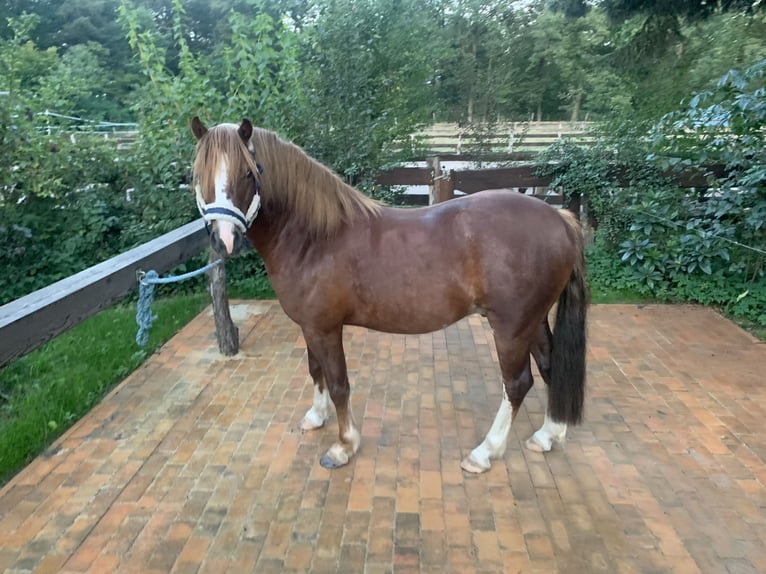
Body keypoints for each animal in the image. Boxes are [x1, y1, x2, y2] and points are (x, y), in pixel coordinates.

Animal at [192, 117, 588, 472]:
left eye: (248, 174)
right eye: (198, 176)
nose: (223, 240)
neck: (315, 237)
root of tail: (562, 221)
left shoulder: (325, 328)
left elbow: (338, 383)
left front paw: (344, 446)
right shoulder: (310, 326)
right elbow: (315, 370)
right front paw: (316, 417)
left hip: (511, 328)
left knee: (517, 383)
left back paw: (484, 453)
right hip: (533, 322)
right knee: (551, 365)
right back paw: (548, 435)